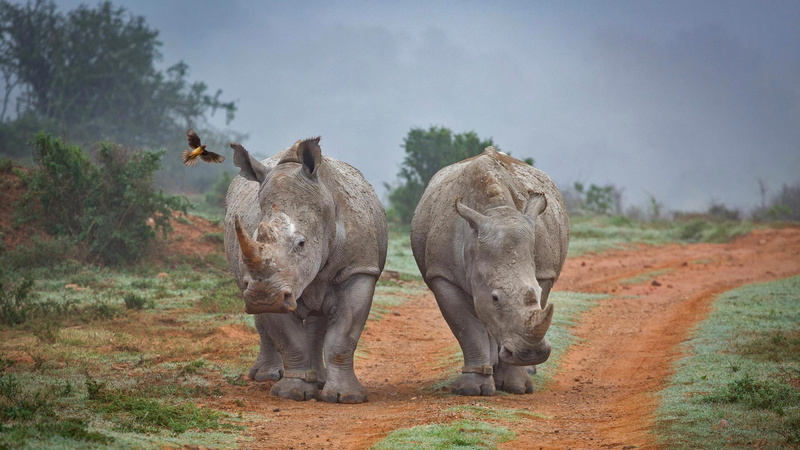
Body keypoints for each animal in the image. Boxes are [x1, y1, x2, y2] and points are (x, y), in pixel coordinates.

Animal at [224, 137, 387, 403]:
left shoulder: (359, 270)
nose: (263, 297)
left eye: (301, 244)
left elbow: (343, 335)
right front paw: (291, 393)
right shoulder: (269, 285)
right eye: (256, 237)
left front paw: (346, 397)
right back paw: (266, 376)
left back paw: (319, 380)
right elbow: (289, 339)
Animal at [411, 146, 569, 396]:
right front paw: (471, 389)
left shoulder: (544, 272)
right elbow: (467, 328)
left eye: (535, 290)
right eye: (495, 298)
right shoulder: (443, 275)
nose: (531, 353)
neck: (497, 210)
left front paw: (516, 386)